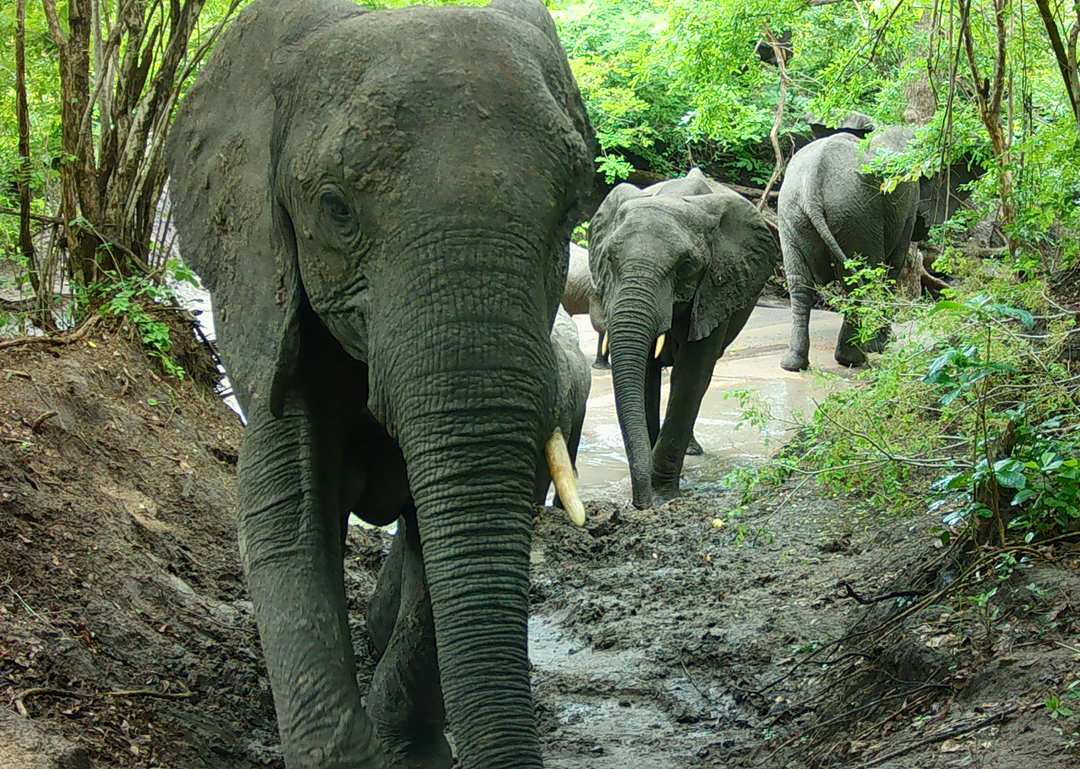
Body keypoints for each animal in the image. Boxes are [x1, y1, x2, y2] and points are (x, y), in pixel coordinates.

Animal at [589, 168, 779, 509]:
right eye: (609, 258)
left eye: (686, 266)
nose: (639, 505)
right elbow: (646, 376)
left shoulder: (716, 287)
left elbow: (691, 376)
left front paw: (663, 497)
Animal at [779, 116, 920, 371]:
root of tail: (811, 188)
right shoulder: (908, 207)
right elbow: (892, 268)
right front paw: (881, 345)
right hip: (856, 216)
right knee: (859, 281)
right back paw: (853, 359)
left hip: (793, 215)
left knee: (799, 283)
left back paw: (793, 364)